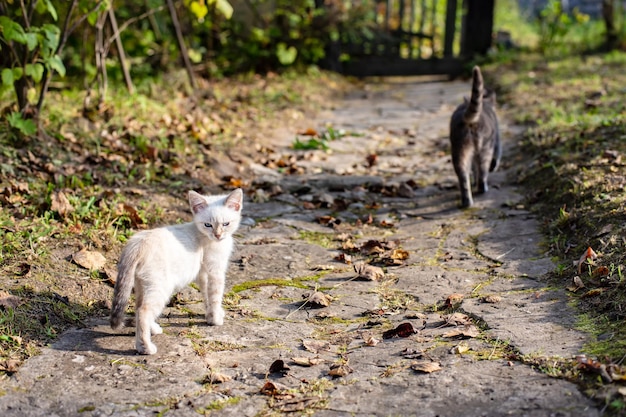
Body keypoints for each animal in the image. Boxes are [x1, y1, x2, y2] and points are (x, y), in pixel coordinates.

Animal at [109, 188, 241, 354]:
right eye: (208, 225)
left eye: (226, 224)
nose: (218, 235)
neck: (203, 235)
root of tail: (137, 243)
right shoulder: (214, 271)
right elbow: (215, 296)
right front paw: (216, 319)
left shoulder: (203, 274)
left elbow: (207, 296)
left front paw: (210, 315)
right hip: (160, 286)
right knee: (143, 312)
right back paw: (145, 347)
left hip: (142, 284)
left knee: (139, 307)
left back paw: (153, 329)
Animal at [446, 66, 500, 207]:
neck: (485, 102)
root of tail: (467, 119)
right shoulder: (497, 136)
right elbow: (498, 153)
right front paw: (494, 166)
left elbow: (474, 169)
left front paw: (474, 180)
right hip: (486, 146)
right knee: (483, 168)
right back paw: (482, 187)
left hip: (459, 147)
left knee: (463, 173)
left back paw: (467, 200)